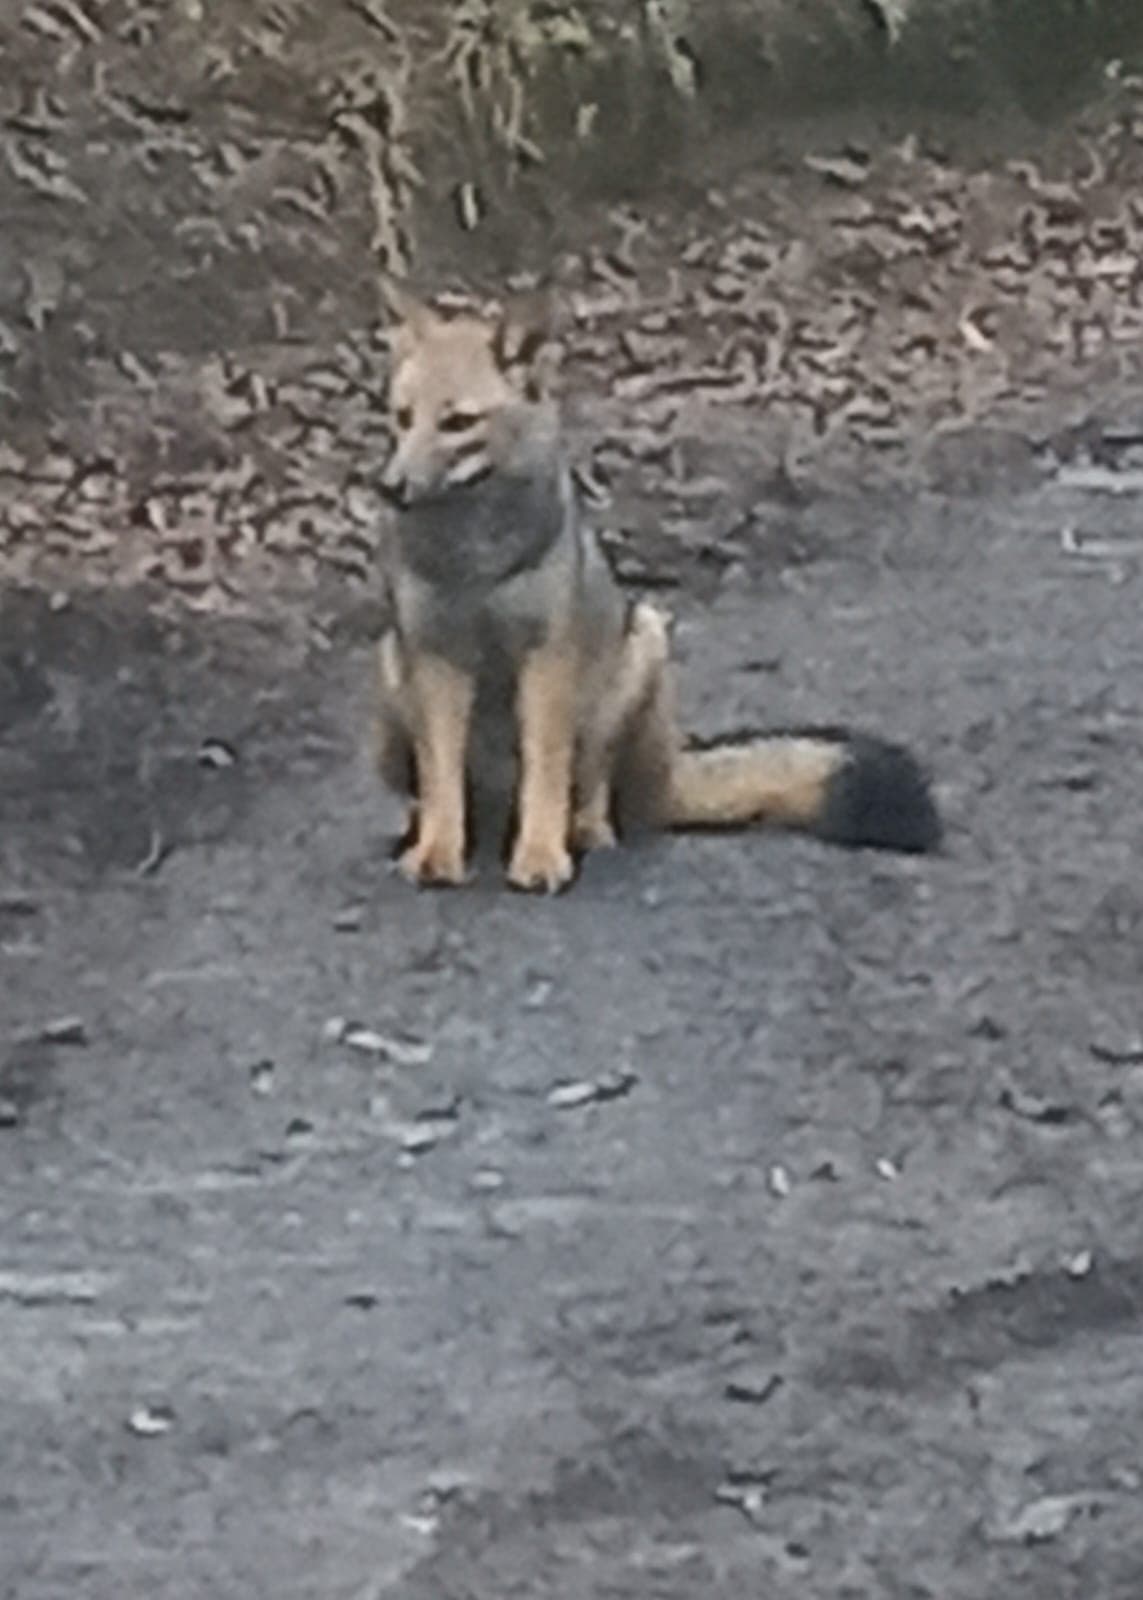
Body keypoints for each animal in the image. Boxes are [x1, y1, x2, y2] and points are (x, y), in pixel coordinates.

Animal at [372, 278, 941, 893]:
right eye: (402, 418)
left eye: (458, 423)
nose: (390, 486)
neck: (474, 562)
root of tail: (669, 772)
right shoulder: (435, 658)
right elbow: (442, 783)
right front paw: (437, 851)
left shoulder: (548, 660)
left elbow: (547, 776)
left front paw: (540, 854)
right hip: (392, 677)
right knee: (451, 794)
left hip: (638, 652)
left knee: (591, 791)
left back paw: (582, 830)